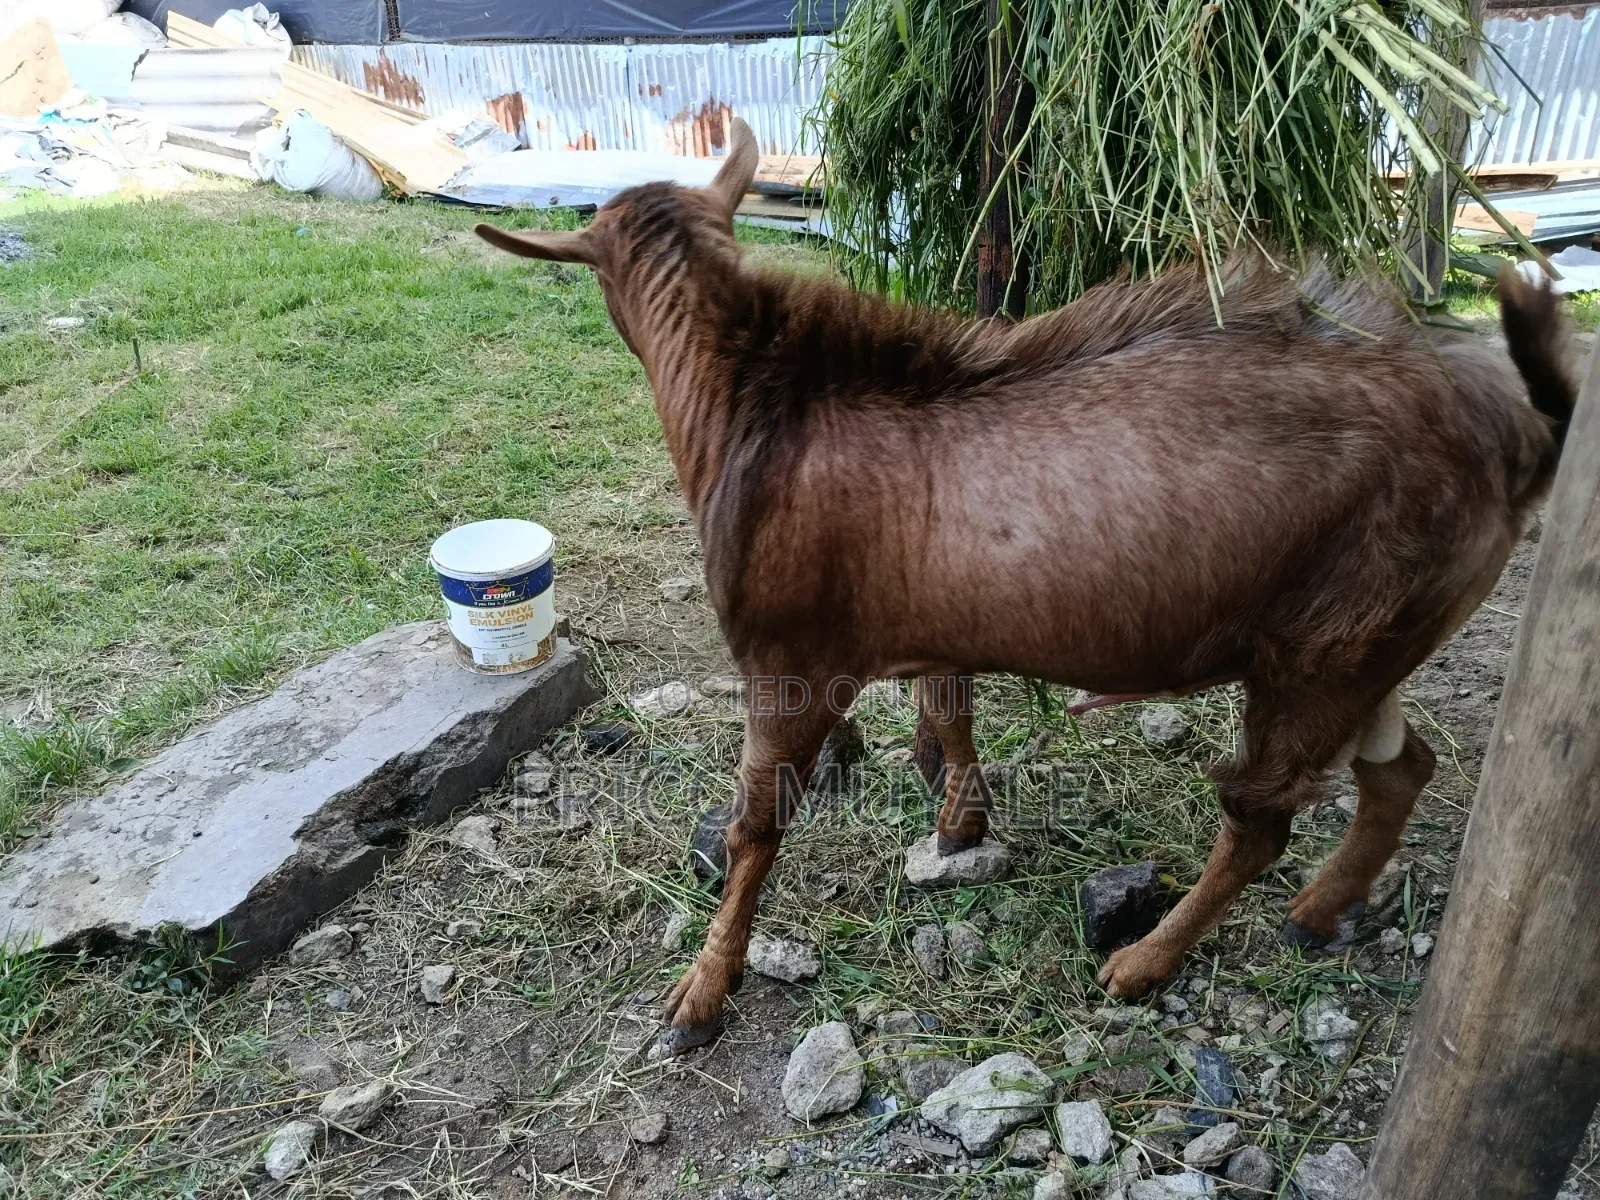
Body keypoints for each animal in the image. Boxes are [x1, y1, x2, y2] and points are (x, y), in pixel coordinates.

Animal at [477, 119, 1575, 1045]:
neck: (757, 398)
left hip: (1321, 651)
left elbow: (757, 824)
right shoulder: (927, 616)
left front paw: (702, 992)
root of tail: (1515, 436)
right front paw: (960, 821)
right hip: (1378, 641)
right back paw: (1316, 909)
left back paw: (1144, 961)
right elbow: (947, 702)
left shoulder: (785, 656)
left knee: (1261, 817)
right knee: (1399, 769)